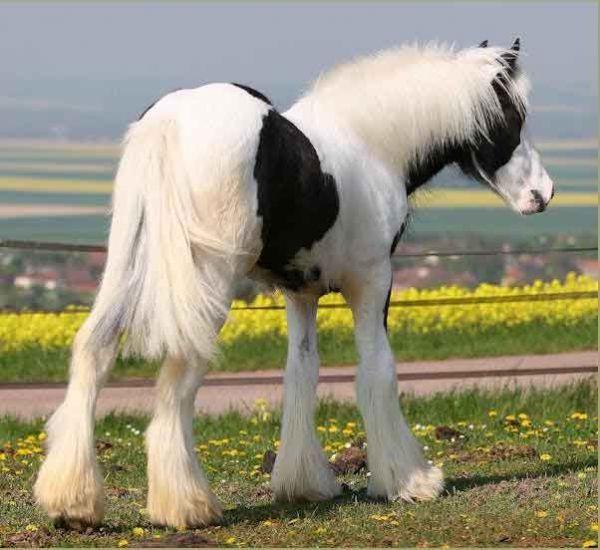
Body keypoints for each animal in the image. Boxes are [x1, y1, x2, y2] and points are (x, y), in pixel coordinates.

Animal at [35, 38, 552, 532]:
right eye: (514, 117)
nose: (543, 194)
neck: (370, 143)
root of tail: (169, 121)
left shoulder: (300, 295)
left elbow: (302, 371)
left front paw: (304, 482)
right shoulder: (373, 281)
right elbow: (377, 371)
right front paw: (410, 481)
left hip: (126, 264)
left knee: (95, 348)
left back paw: (73, 502)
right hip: (208, 281)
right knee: (180, 369)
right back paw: (186, 506)